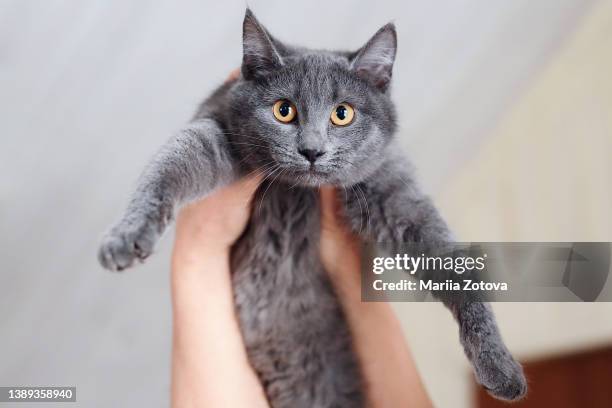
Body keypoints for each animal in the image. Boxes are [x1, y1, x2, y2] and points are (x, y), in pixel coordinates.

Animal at [99, 7, 524, 406]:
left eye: (343, 113)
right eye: (283, 110)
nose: (312, 150)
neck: (297, 193)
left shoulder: (392, 190)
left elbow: (454, 265)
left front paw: (498, 364)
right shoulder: (216, 129)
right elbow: (168, 167)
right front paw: (127, 236)